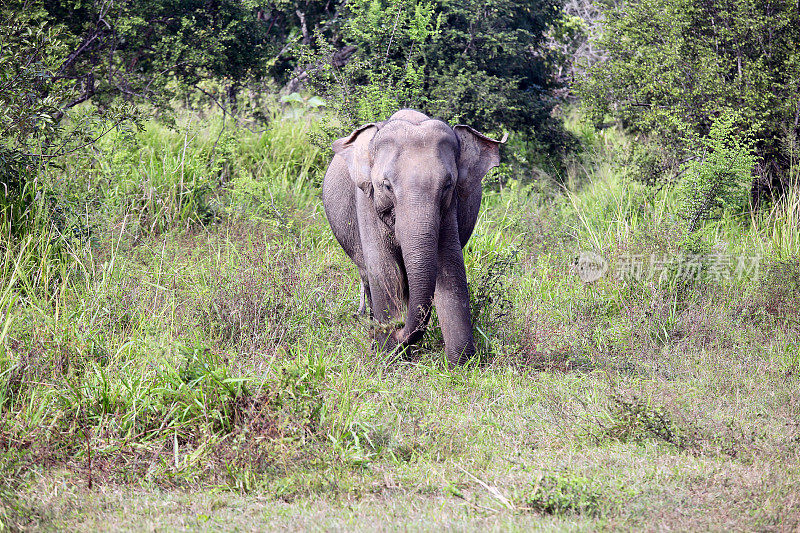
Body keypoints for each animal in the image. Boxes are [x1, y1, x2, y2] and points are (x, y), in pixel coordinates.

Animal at [320, 109, 504, 366]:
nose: (397, 328)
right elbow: (385, 270)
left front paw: (462, 364)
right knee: (368, 274)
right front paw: (388, 356)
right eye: (387, 186)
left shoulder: (449, 208)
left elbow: (450, 269)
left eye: (448, 185)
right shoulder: (366, 203)